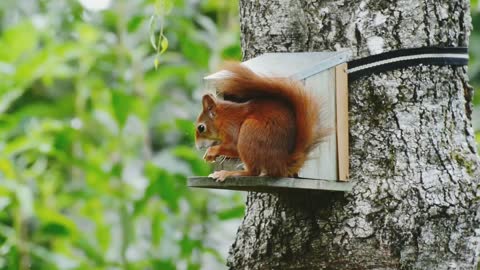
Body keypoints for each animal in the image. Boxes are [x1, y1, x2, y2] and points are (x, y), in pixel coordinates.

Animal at [195, 62, 326, 181]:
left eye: (201, 128)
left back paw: (228, 173)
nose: (197, 146)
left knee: (253, 172)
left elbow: (233, 146)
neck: (223, 118)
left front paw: (211, 152)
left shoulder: (231, 126)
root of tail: (282, 164)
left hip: (250, 131)